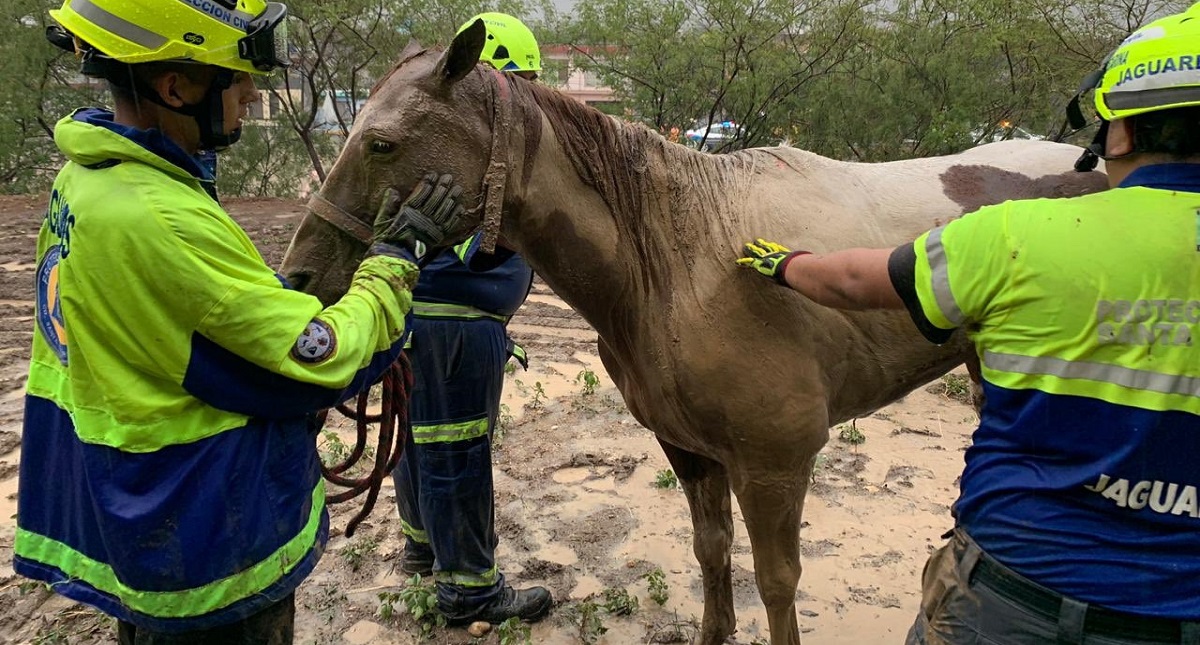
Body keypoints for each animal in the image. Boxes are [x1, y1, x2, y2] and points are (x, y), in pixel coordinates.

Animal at [279, 21, 1108, 645]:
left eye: (382, 143)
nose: (300, 273)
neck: (678, 260)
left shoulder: (774, 466)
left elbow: (776, 582)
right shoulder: (689, 450)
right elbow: (712, 554)